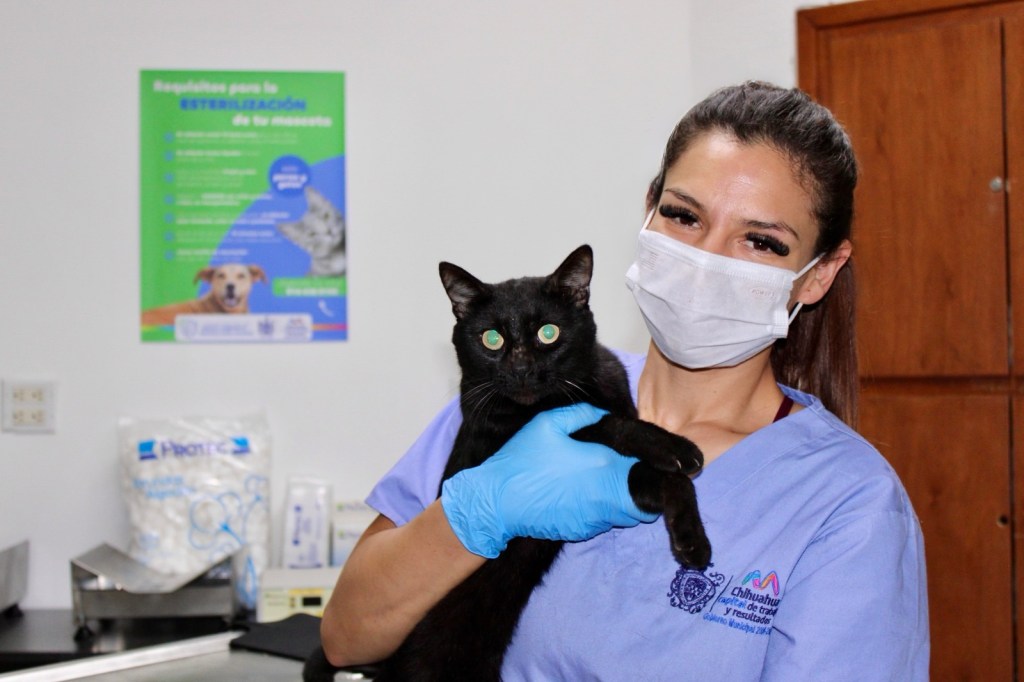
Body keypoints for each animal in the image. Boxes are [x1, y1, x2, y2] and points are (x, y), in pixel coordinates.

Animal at [303, 244, 710, 682]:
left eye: (548, 332)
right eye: (491, 339)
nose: (521, 369)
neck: (577, 394)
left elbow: (662, 470)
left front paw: (691, 542)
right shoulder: (526, 433)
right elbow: (611, 426)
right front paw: (676, 448)